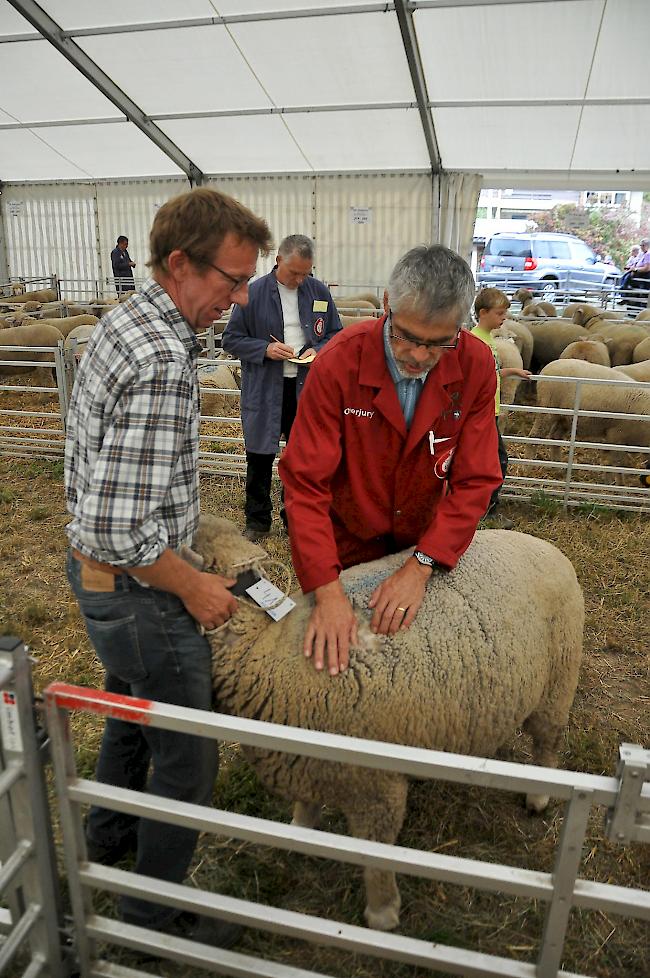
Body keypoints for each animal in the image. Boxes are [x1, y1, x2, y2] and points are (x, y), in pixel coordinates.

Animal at [184, 516, 584, 928]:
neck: (266, 651)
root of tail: (549, 548)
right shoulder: (305, 761)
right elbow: (306, 807)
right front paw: (300, 833)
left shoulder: (375, 788)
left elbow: (375, 853)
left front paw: (383, 913)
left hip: (557, 680)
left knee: (548, 742)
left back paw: (538, 797)